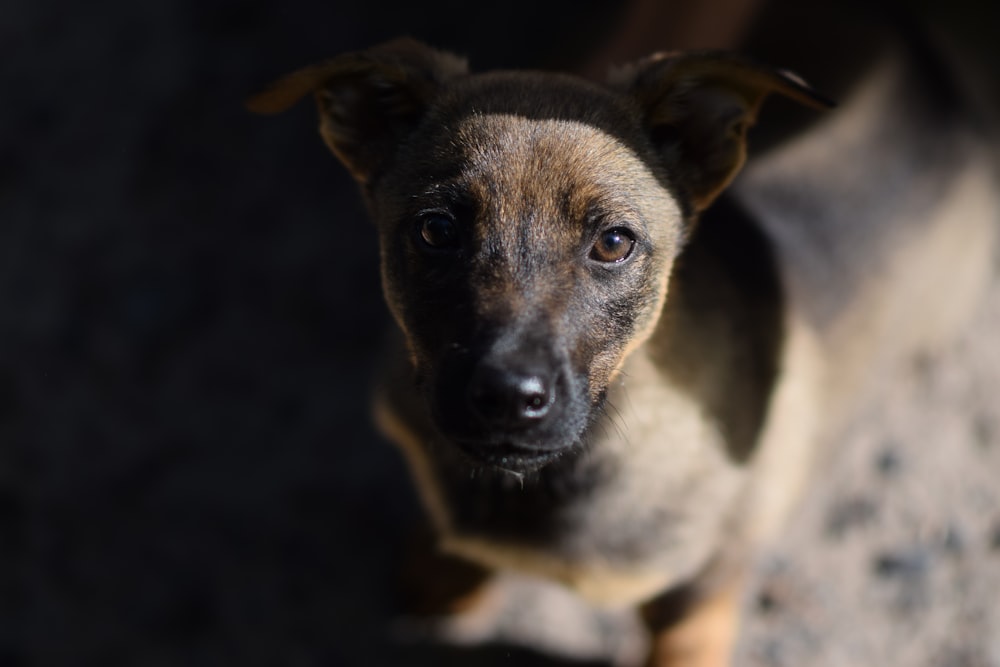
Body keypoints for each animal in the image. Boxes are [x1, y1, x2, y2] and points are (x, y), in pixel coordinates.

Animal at [246, 35, 996, 667]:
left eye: (613, 242)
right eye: (436, 230)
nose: (507, 398)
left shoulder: (711, 573)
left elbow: (688, 638)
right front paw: (444, 568)